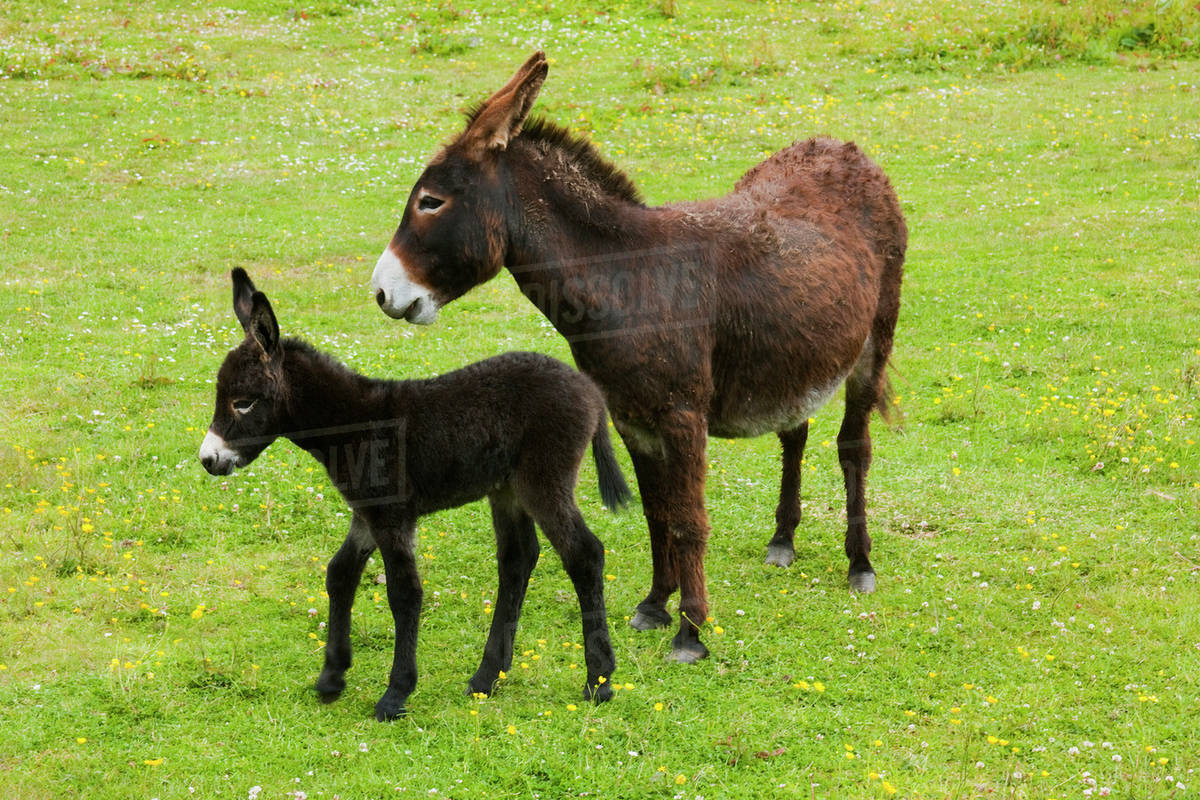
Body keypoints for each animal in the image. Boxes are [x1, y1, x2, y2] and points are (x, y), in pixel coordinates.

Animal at [199, 268, 630, 720]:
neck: (355, 423)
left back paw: (599, 681)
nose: (208, 459)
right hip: (508, 489)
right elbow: (340, 573)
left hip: (543, 482)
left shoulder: (392, 516)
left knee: (584, 554)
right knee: (518, 560)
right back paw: (487, 678)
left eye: (243, 403)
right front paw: (332, 678)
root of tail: (587, 388)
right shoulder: (367, 514)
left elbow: (404, 592)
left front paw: (395, 694)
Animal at [369, 52, 906, 664]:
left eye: (430, 202)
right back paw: (782, 540)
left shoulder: (682, 416)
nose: (381, 293)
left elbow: (690, 520)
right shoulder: (631, 418)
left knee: (853, 448)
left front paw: (692, 630)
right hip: (794, 356)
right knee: (795, 431)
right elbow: (657, 514)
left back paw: (859, 562)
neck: (626, 279)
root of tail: (842, 147)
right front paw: (655, 604)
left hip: (873, 342)